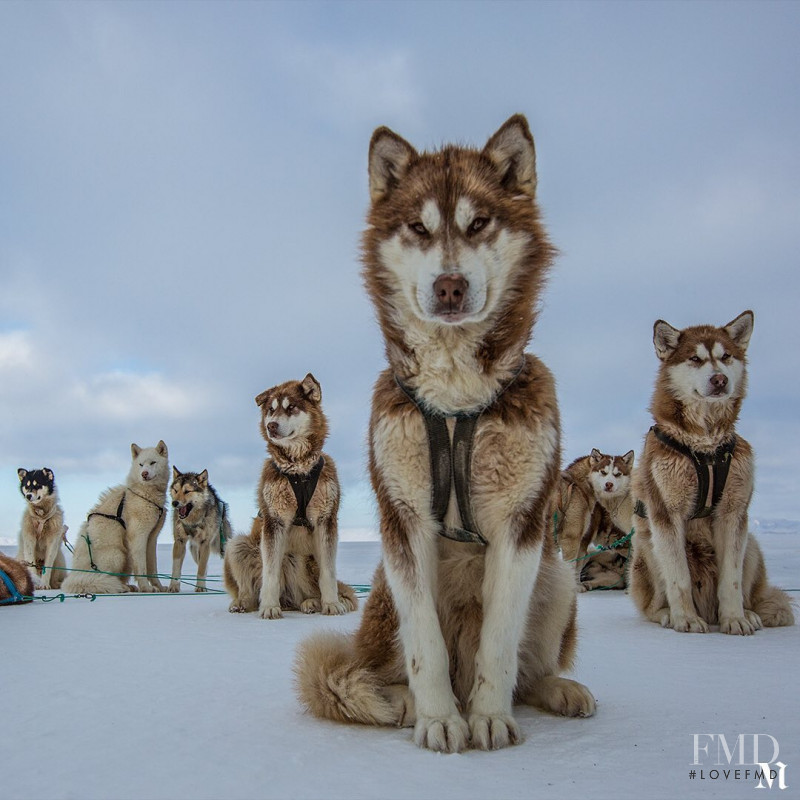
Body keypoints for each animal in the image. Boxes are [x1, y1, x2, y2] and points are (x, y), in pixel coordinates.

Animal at [62, 444, 169, 592]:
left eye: (153, 462)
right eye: (141, 464)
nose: (144, 474)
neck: (144, 494)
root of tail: (76, 577)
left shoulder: (152, 538)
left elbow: (152, 568)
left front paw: (159, 586)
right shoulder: (138, 537)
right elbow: (141, 567)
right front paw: (146, 588)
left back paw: (128, 586)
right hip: (118, 554)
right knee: (106, 577)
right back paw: (121, 587)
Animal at [220, 376, 354, 620]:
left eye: (291, 407)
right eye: (271, 410)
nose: (270, 425)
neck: (298, 469)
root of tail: (288, 599)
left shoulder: (326, 519)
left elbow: (328, 572)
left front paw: (331, 603)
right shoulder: (275, 520)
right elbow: (270, 573)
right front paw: (269, 607)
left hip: (300, 559)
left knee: (308, 591)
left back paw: (312, 602)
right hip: (237, 546)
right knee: (249, 590)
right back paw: (243, 603)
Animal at [294, 115, 592, 752]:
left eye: (478, 223)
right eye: (418, 227)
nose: (449, 286)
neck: (457, 401)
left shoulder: (522, 525)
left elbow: (500, 643)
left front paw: (488, 716)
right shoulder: (404, 520)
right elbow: (424, 645)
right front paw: (438, 718)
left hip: (558, 577)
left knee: (528, 667)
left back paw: (556, 689)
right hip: (383, 594)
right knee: (384, 665)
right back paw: (402, 701)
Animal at [632, 310, 792, 636]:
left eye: (726, 356)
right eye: (695, 359)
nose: (720, 379)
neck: (704, 446)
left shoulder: (733, 512)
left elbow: (731, 580)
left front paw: (736, 619)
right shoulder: (666, 513)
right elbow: (678, 577)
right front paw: (685, 618)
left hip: (751, 545)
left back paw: (748, 613)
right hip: (646, 547)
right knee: (652, 603)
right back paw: (667, 613)